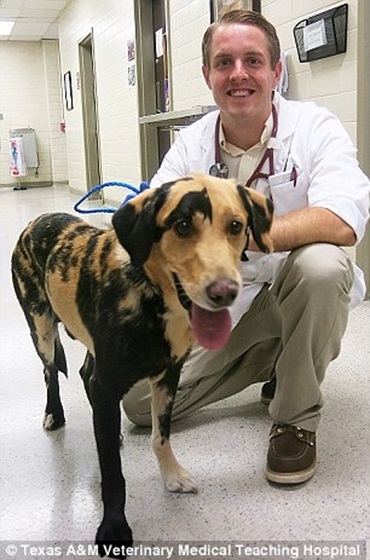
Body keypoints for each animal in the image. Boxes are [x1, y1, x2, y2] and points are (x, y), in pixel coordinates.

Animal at [10, 173, 272, 556]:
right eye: (181, 225)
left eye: (236, 226)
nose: (225, 292)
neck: (151, 295)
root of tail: (37, 220)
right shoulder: (109, 385)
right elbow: (112, 474)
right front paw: (113, 527)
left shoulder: (168, 376)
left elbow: (160, 436)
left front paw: (172, 476)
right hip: (41, 326)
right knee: (50, 372)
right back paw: (54, 414)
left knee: (86, 374)